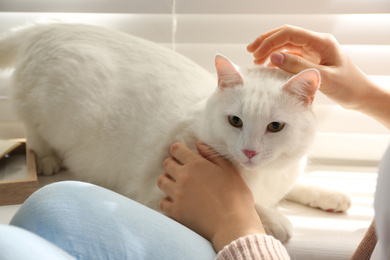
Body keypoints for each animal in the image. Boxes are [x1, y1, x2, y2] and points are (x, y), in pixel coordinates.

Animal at [0, 22, 350, 242]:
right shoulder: (158, 193)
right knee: (31, 129)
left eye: (275, 127)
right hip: (41, 109)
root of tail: (45, 27)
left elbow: (294, 186)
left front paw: (329, 195)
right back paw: (46, 159)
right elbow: (250, 201)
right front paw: (275, 220)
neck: (261, 176)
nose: (249, 151)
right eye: (235, 121)